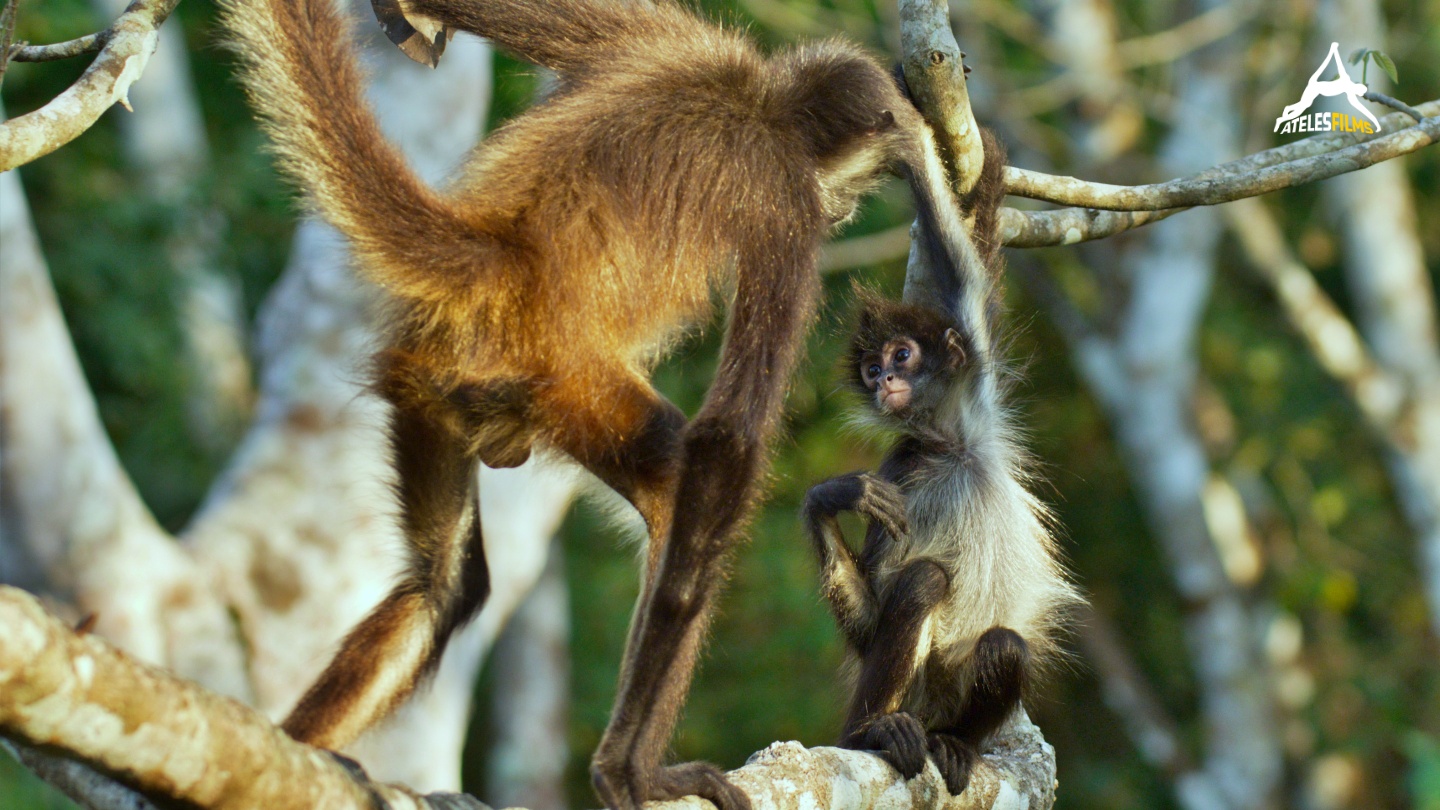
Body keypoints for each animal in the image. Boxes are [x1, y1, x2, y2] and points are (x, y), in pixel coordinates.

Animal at [220, 0, 981, 806]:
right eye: (842, 191)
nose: (843, 209)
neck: (759, 100)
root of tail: (502, 262)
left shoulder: (670, 38)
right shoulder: (786, 202)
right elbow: (725, 442)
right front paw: (623, 772)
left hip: (428, 382)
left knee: (443, 581)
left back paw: (305, 745)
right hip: (561, 381)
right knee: (678, 485)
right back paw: (643, 766)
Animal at [802, 131, 1083, 796]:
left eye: (902, 356)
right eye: (871, 370)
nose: (884, 382)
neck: (947, 443)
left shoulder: (977, 399)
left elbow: (962, 270)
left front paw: (909, 140)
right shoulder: (898, 467)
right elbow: (872, 623)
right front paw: (830, 498)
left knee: (1005, 645)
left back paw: (953, 743)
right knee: (923, 581)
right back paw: (869, 734)